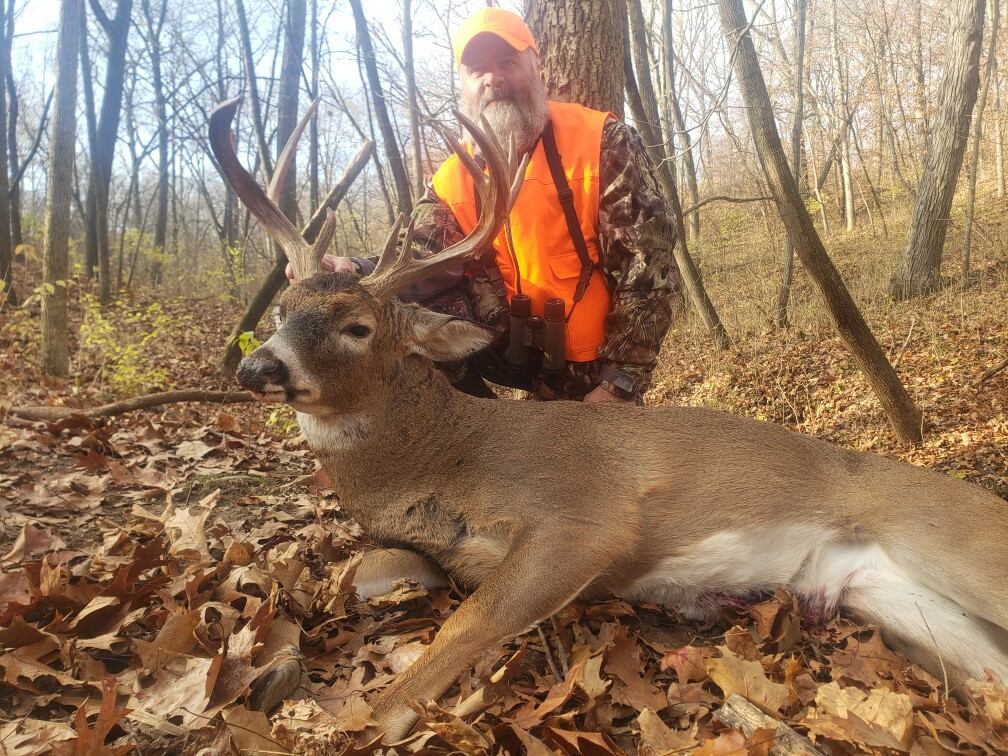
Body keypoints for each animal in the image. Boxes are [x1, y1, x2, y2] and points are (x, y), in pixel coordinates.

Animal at [209, 98, 1008, 743]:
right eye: (281, 310)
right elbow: (362, 571)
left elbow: (451, 641)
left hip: (961, 545)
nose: (256, 369)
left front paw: (342, 720)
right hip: (901, 604)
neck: (450, 453)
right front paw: (277, 670)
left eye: (357, 327)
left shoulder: (585, 515)